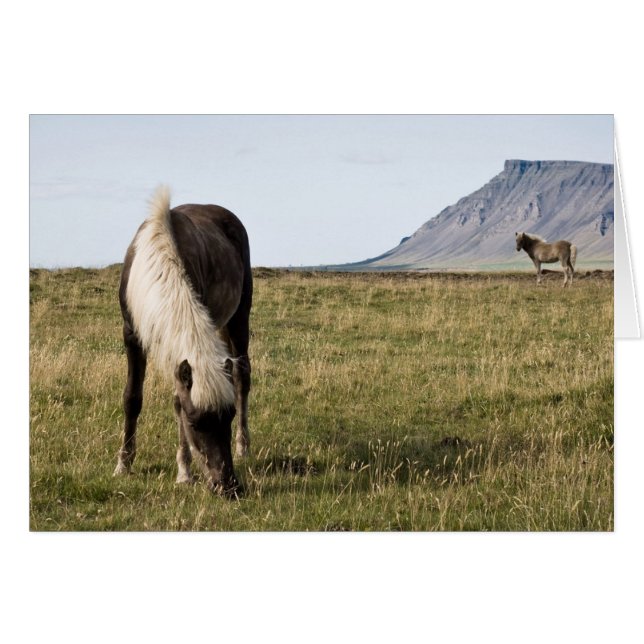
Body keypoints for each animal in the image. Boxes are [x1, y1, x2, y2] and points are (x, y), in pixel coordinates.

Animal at [113, 186, 252, 495]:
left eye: (229, 415)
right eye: (195, 422)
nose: (228, 486)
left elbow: (177, 398)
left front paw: (184, 471)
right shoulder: (132, 334)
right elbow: (132, 398)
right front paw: (123, 464)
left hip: (239, 318)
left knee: (242, 377)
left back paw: (243, 446)